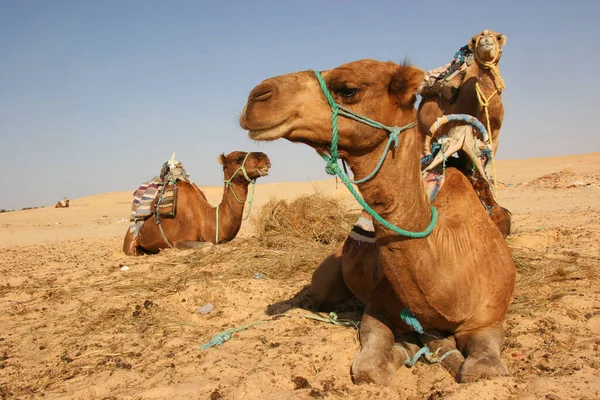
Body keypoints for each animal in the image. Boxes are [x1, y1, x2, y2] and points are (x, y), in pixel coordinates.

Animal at [122, 152, 270, 255]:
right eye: (238, 158)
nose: (264, 157)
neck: (204, 218)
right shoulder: (180, 241)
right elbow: (209, 244)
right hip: (130, 244)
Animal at [239, 57, 516, 384]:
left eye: (348, 88)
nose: (256, 96)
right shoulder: (377, 308)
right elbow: (371, 367)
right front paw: (410, 347)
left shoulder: (489, 318)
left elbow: (483, 368)